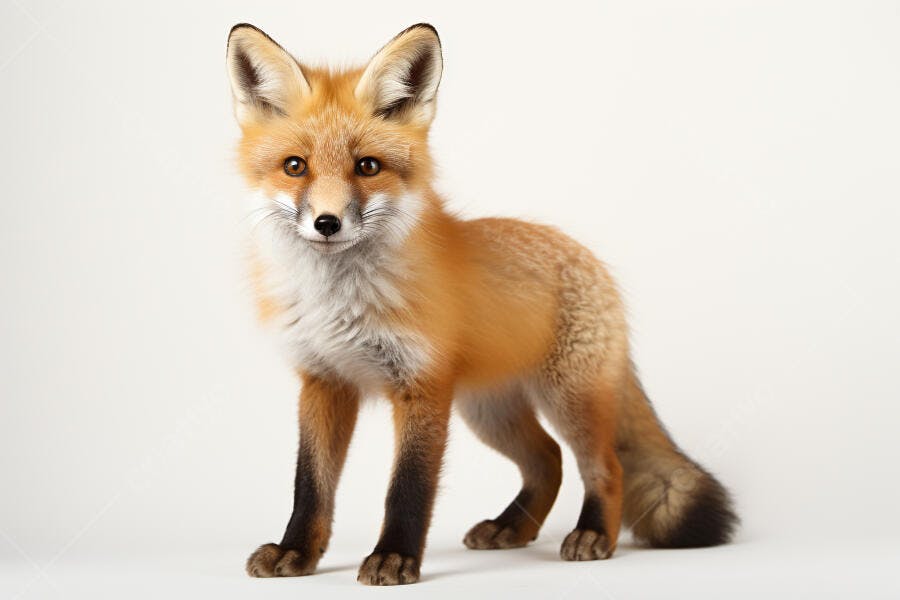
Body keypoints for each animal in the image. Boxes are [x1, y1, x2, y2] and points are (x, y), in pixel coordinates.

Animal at [225, 23, 737, 586]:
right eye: (295, 167)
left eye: (368, 167)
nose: (327, 223)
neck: (340, 301)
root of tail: (591, 261)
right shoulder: (323, 381)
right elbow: (310, 484)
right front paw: (297, 551)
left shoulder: (422, 386)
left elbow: (408, 487)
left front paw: (395, 557)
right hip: (489, 410)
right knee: (547, 460)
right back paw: (511, 528)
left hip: (568, 399)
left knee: (604, 466)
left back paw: (593, 534)